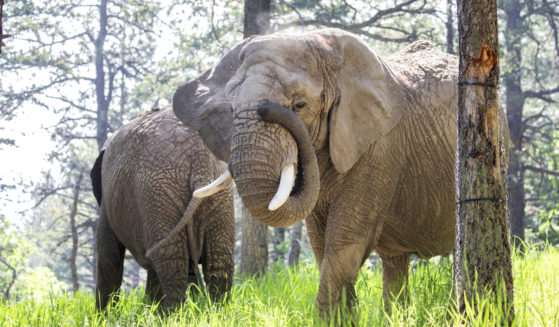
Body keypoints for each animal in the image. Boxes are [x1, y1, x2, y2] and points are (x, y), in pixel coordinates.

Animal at [89, 106, 234, 312]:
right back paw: (216, 313)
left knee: (170, 262)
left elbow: (109, 257)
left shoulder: (107, 204)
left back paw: (172, 315)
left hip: (157, 194)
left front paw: (103, 316)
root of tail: (199, 158)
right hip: (217, 196)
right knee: (218, 262)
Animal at [173, 29, 510, 316]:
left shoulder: (380, 149)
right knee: (394, 262)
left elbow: (345, 240)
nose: (267, 108)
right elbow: (321, 244)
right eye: (231, 109)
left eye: (300, 104)